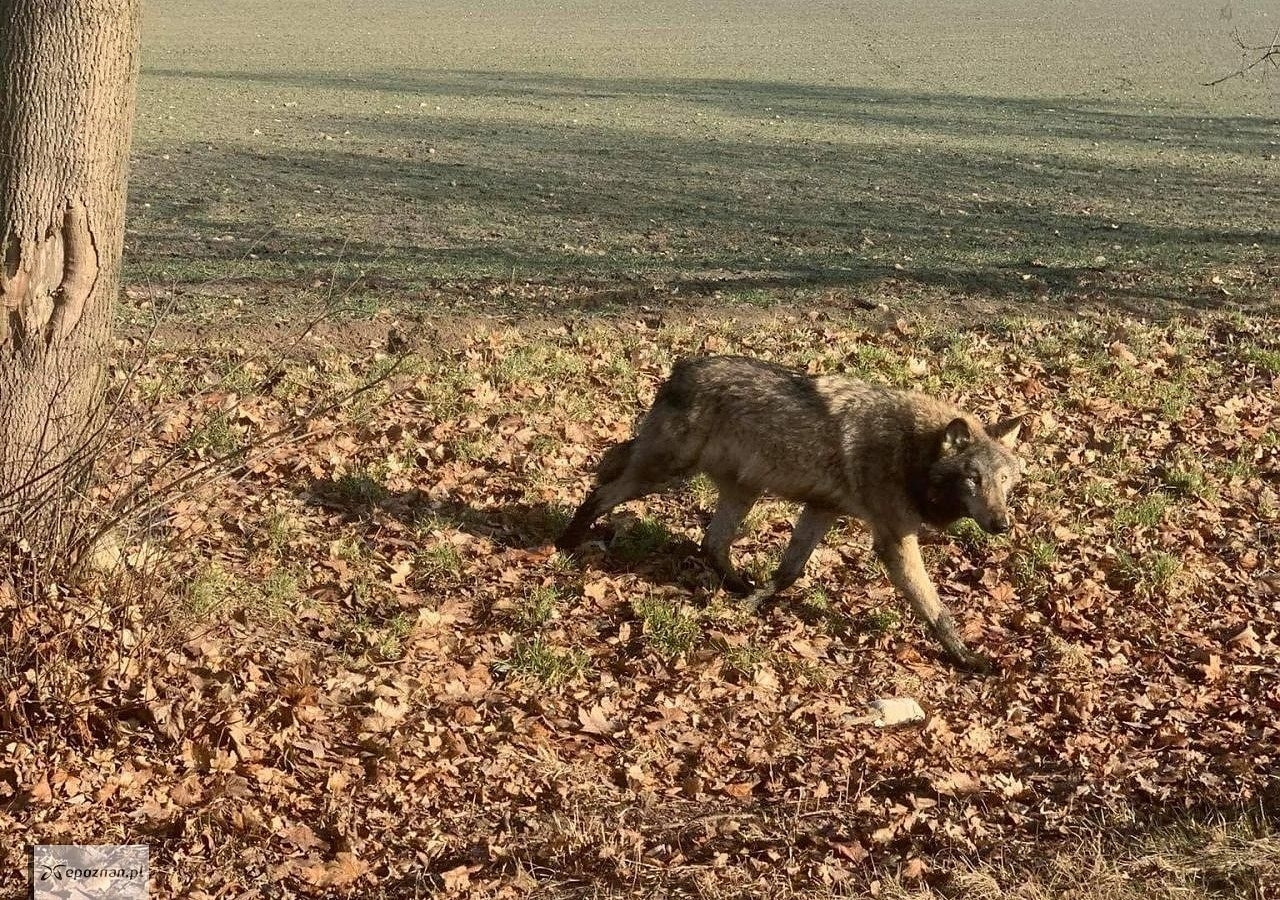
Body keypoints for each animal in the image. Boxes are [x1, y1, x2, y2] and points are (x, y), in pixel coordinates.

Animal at [555, 355, 1024, 670]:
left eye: (1005, 480)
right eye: (974, 480)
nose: (1001, 525)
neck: (913, 452)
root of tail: (681, 369)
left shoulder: (821, 509)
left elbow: (788, 572)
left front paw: (754, 603)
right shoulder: (894, 539)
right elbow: (934, 607)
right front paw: (968, 658)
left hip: (742, 490)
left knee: (712, 542)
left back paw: (737, 587)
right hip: (664, 474)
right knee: (601, 491)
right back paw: (566, 544)